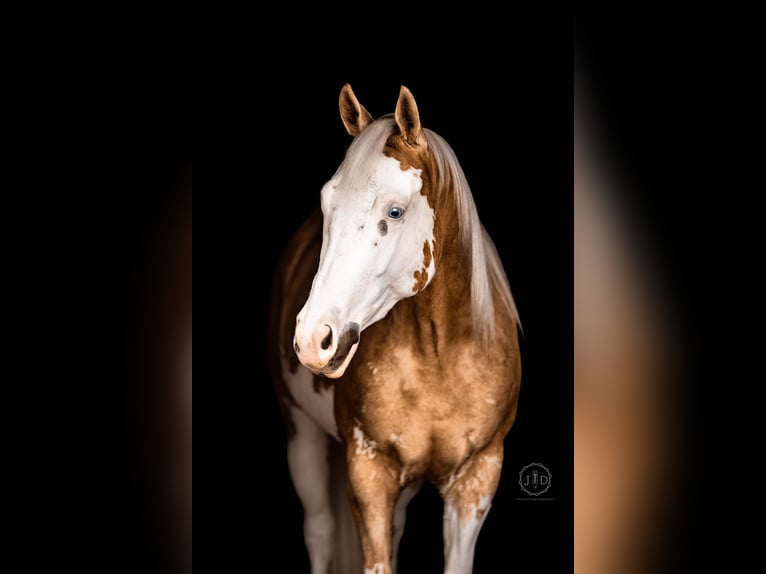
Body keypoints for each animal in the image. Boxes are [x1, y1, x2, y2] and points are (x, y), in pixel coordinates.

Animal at [269, 84, 521, 574]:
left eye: (396, 211)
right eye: (327, 203)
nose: (312, 339)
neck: (439, 355)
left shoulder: (477, 478)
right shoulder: (369, 474)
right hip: (302, 435)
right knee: (320, 531)